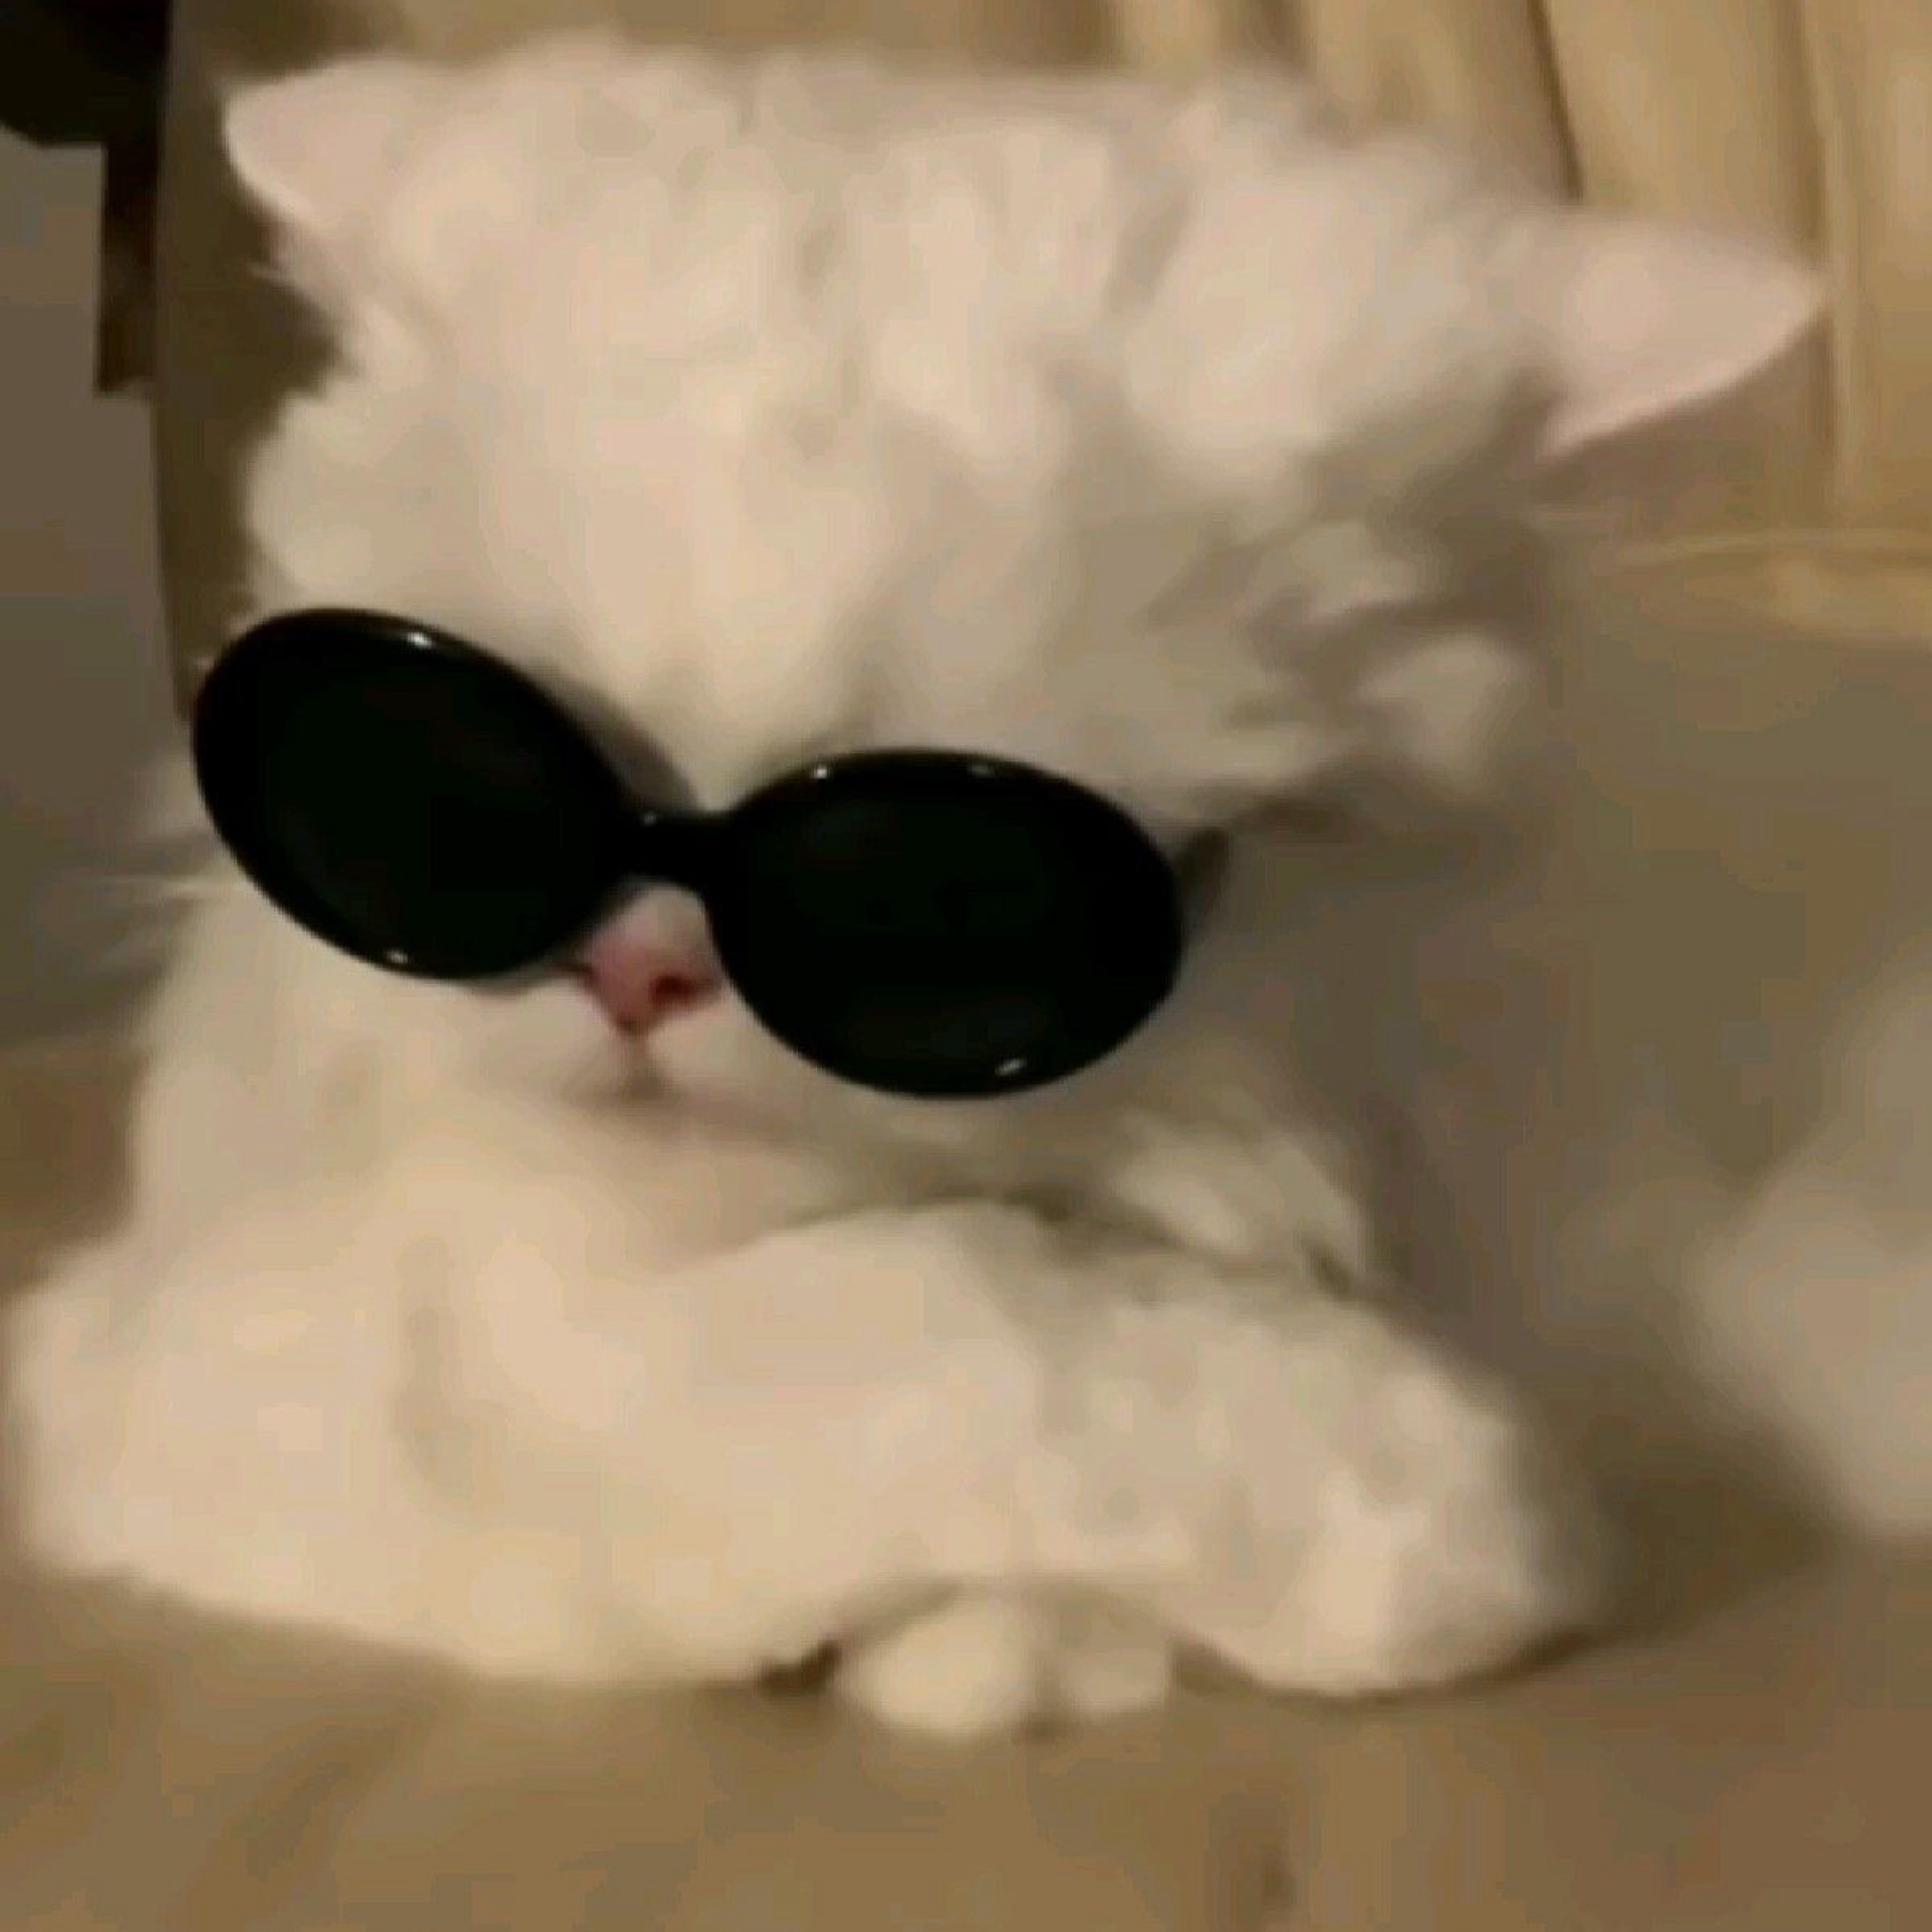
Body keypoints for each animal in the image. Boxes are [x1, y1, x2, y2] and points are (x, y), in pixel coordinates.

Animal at [3, 37, 1823, 1739]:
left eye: (941, 907)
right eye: (444, 782)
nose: (641, 970)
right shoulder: (237, 1361)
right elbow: (952, 1330)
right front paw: (1432, 1518)